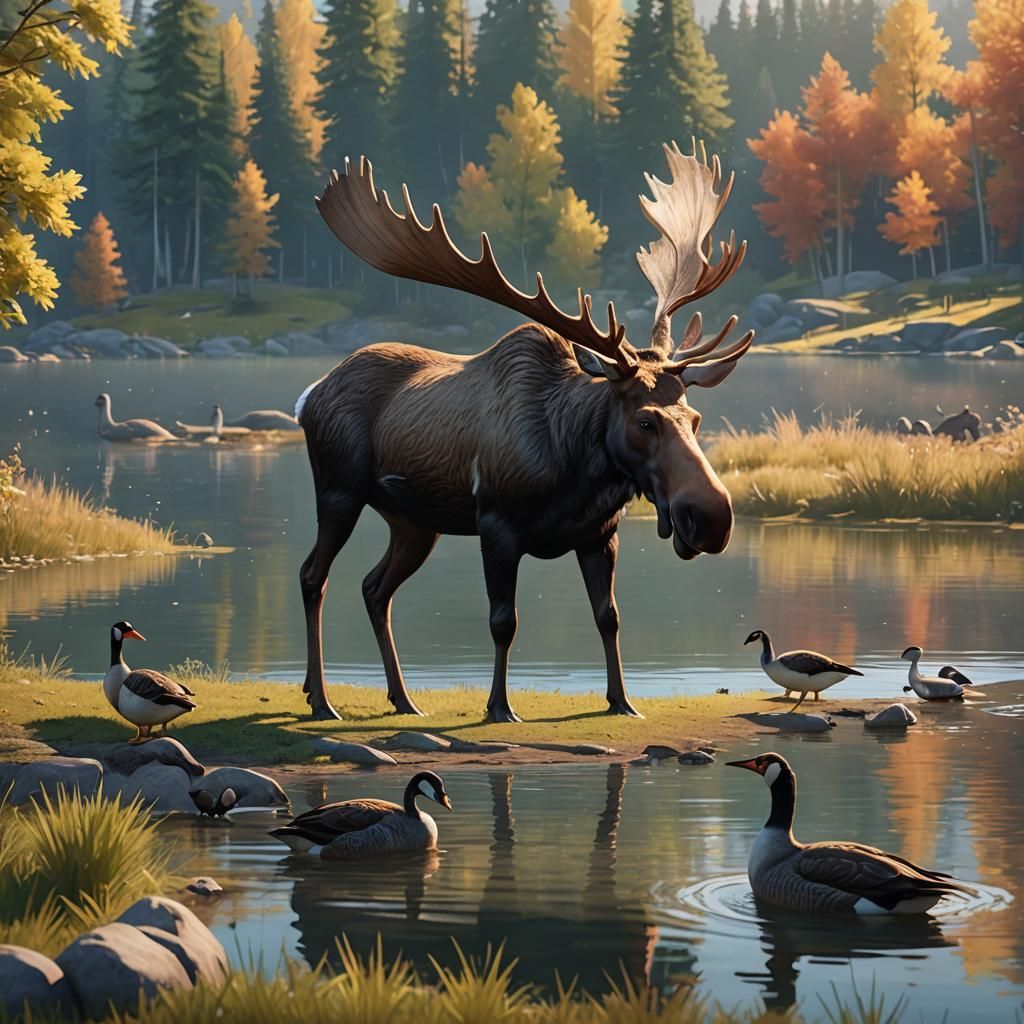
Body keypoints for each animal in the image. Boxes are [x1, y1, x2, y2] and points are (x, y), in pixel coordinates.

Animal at [296, 140, 753, 723]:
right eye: (644, 420)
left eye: (695, 419)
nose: (712, 517)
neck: (575, 470)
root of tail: (310, 395)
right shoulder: (496, 523)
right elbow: (503, 621)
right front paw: (499, 706)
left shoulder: (599, 533)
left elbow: (609, 617)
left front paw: (622, 701)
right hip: (340, 490)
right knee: (315, 575)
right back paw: (321, 699)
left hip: (414, 521)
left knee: (375, 588)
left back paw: (403, 699)